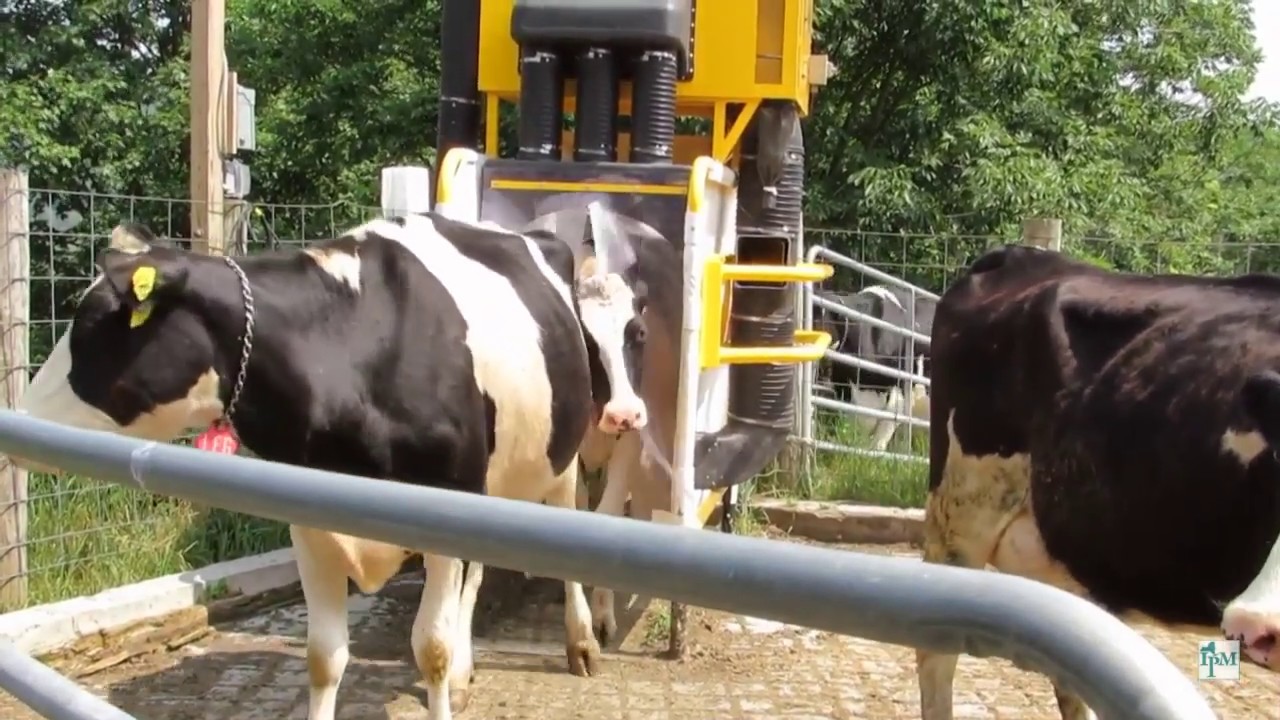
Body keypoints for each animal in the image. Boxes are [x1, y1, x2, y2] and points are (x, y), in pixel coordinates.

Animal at [11, 213, 650, 720]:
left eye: (96, 324)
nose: (16, 422)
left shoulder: (444, 510)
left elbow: (432, 648)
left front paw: (451, 669)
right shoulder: (311, 524)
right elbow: (323, 657)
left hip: (558, 458)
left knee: (565, 530)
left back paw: (581, 643)